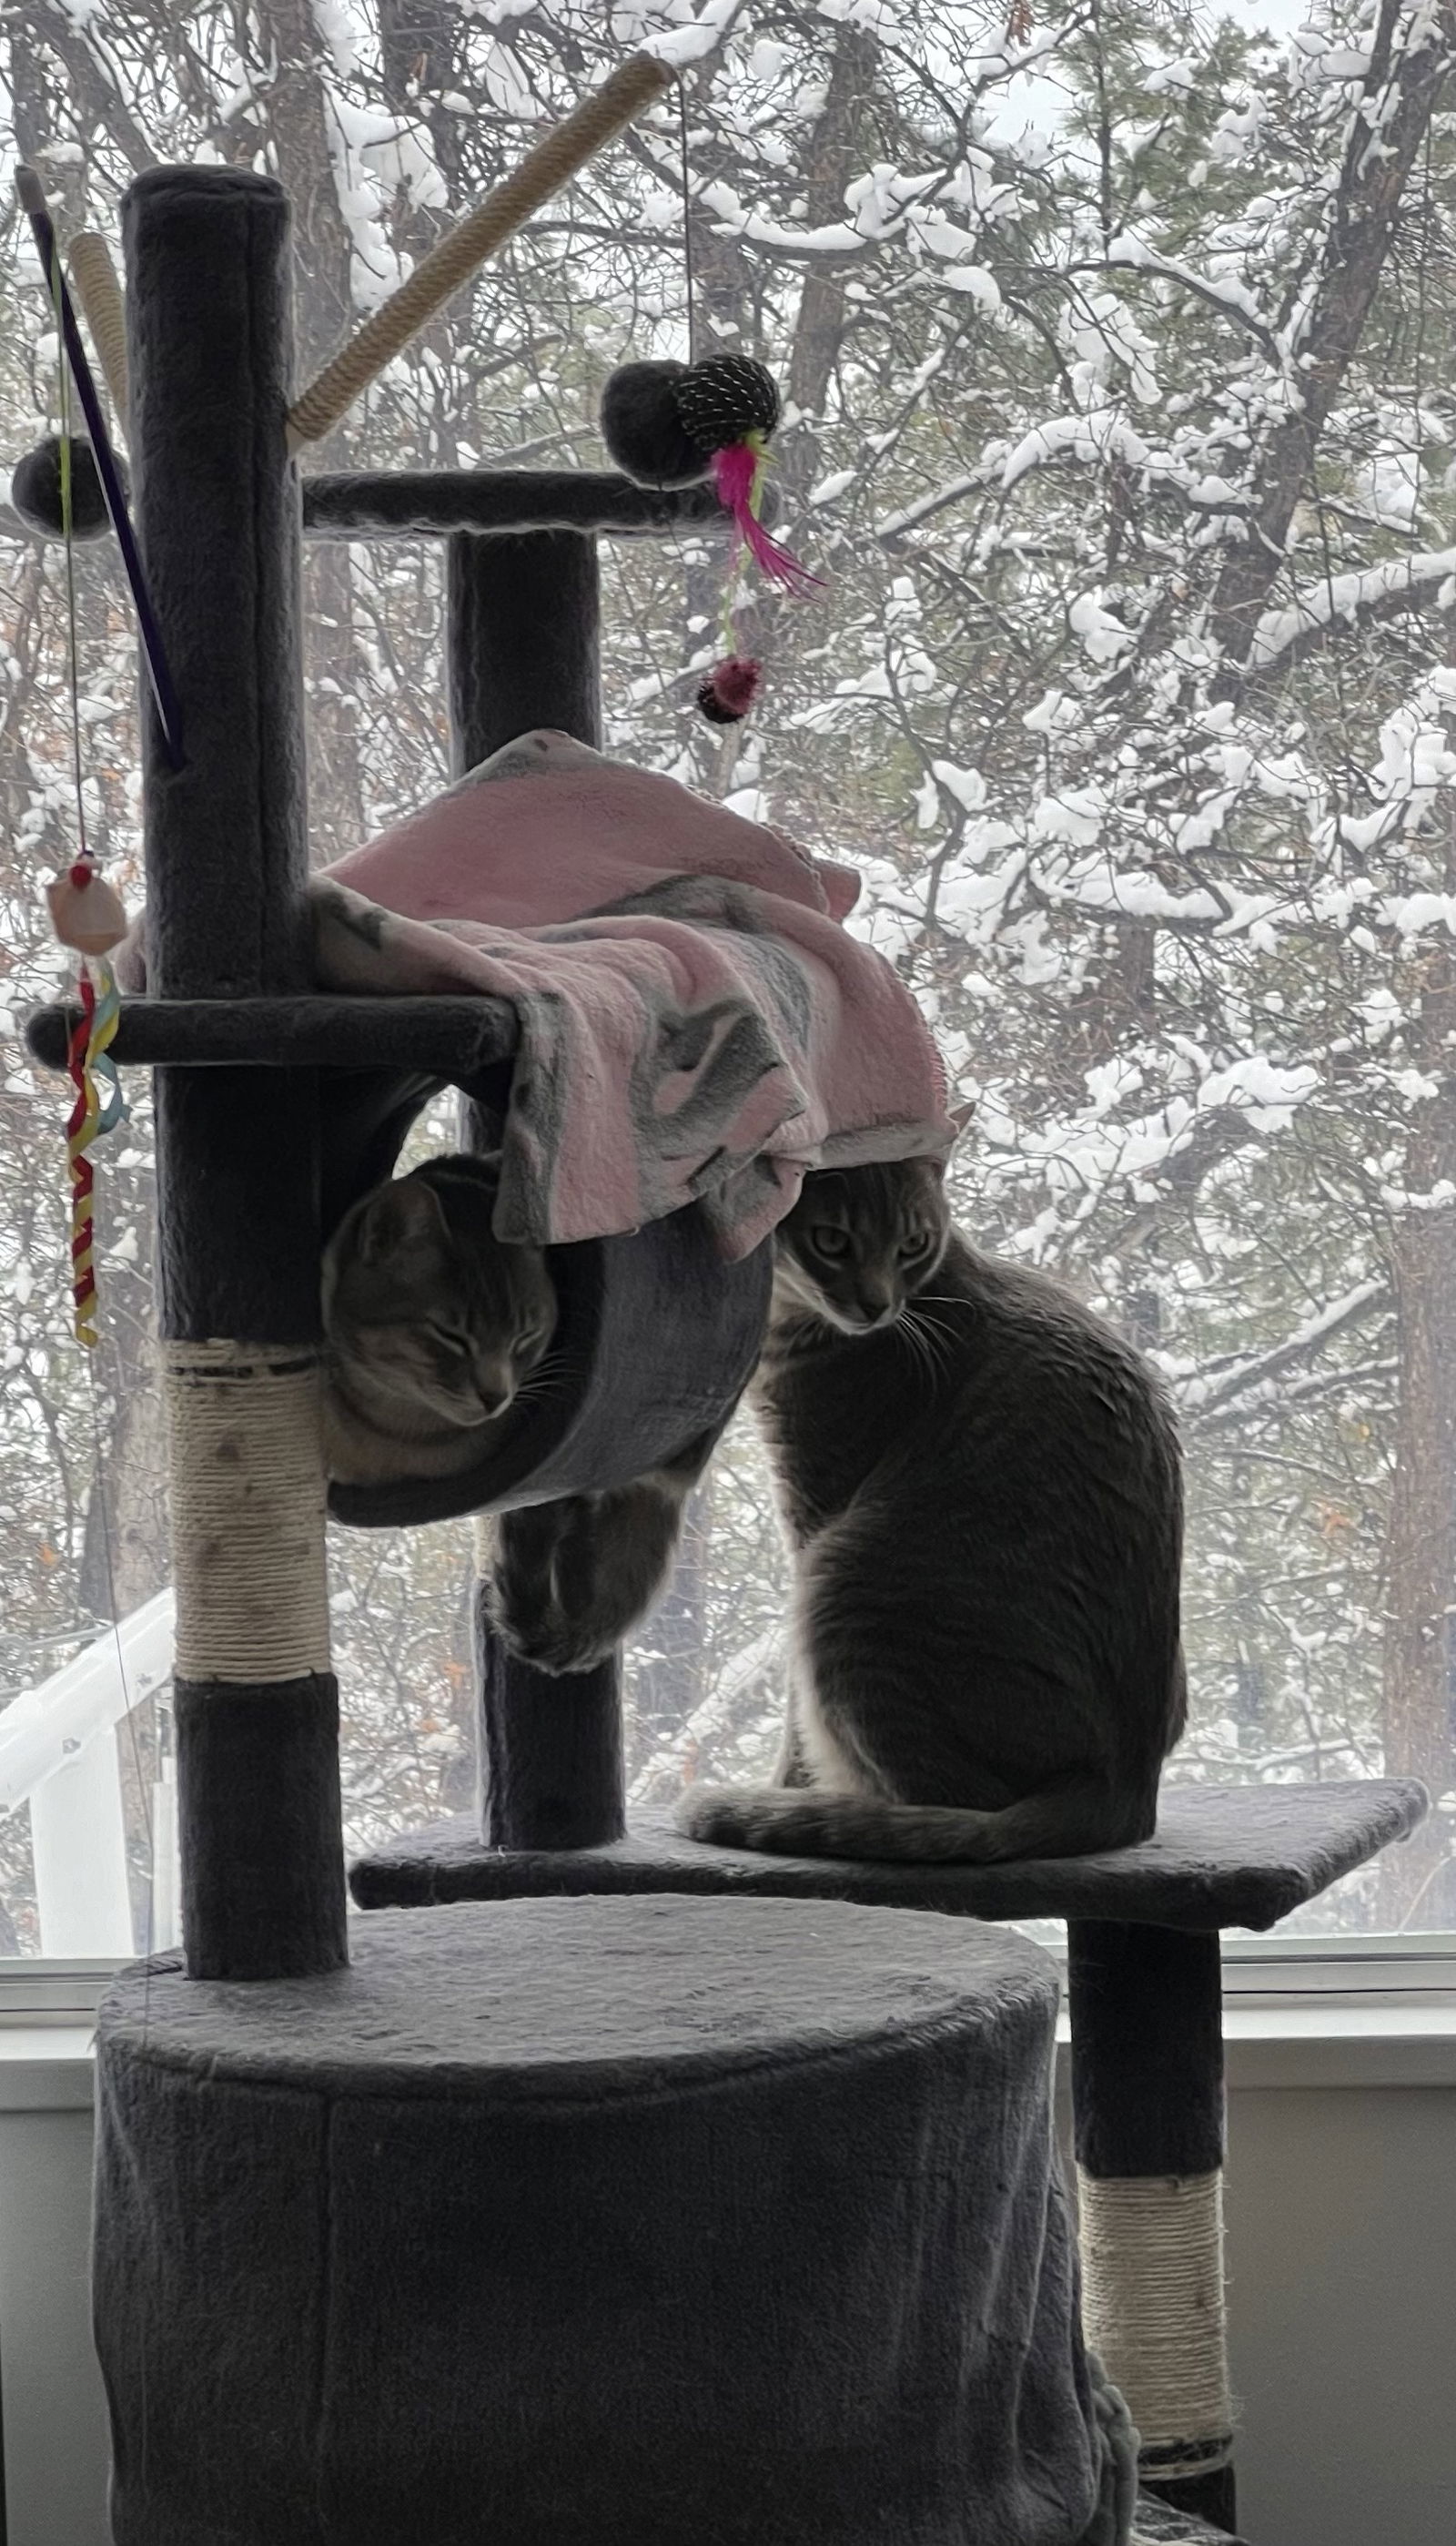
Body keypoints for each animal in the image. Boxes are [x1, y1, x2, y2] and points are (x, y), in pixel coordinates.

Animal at [677, 1166, 1186, 1863]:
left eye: (911, 1245)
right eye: (832, 1241)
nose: (874, 1304)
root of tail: (1129, 1791)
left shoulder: (811, 1515)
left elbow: (792, 1716)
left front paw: (781, 1786)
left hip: (845, 1588)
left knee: (945, 1804)